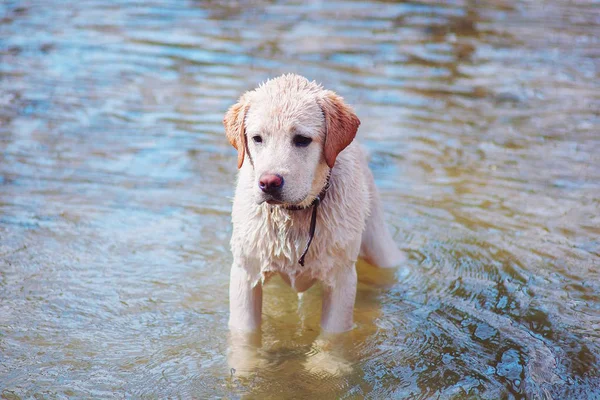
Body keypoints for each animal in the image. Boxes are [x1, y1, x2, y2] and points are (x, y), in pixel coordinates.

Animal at [224, 73, 404, 332]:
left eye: (302, 139)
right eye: (257, 138)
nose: (268, 183)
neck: (293, 215)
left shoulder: (341, 280)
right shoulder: (246, 273)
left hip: (379, 246)